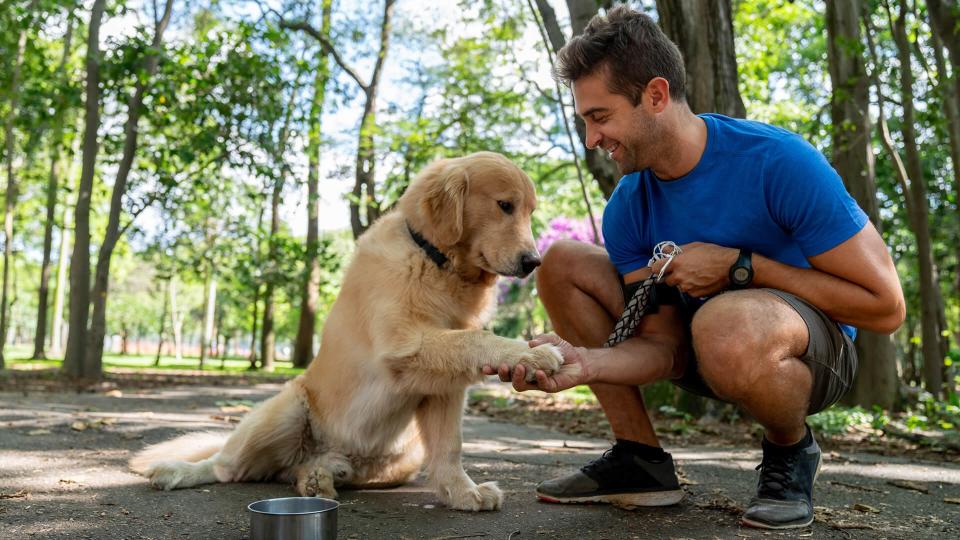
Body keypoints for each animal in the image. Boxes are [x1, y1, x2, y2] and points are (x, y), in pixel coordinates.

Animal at [128, 152, 564, 510]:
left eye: (529, 212)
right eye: (504, 206)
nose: (534, 262)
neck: (436, 261)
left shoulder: (443, 388)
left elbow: (449, 448)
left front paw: (462, 493)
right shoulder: (402, 347)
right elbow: (476, 338)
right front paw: (531, 353)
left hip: (401, 455)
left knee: (299, 471)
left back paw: (322, 475)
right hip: (285, 411)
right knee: (225, 467)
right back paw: (176, 471)